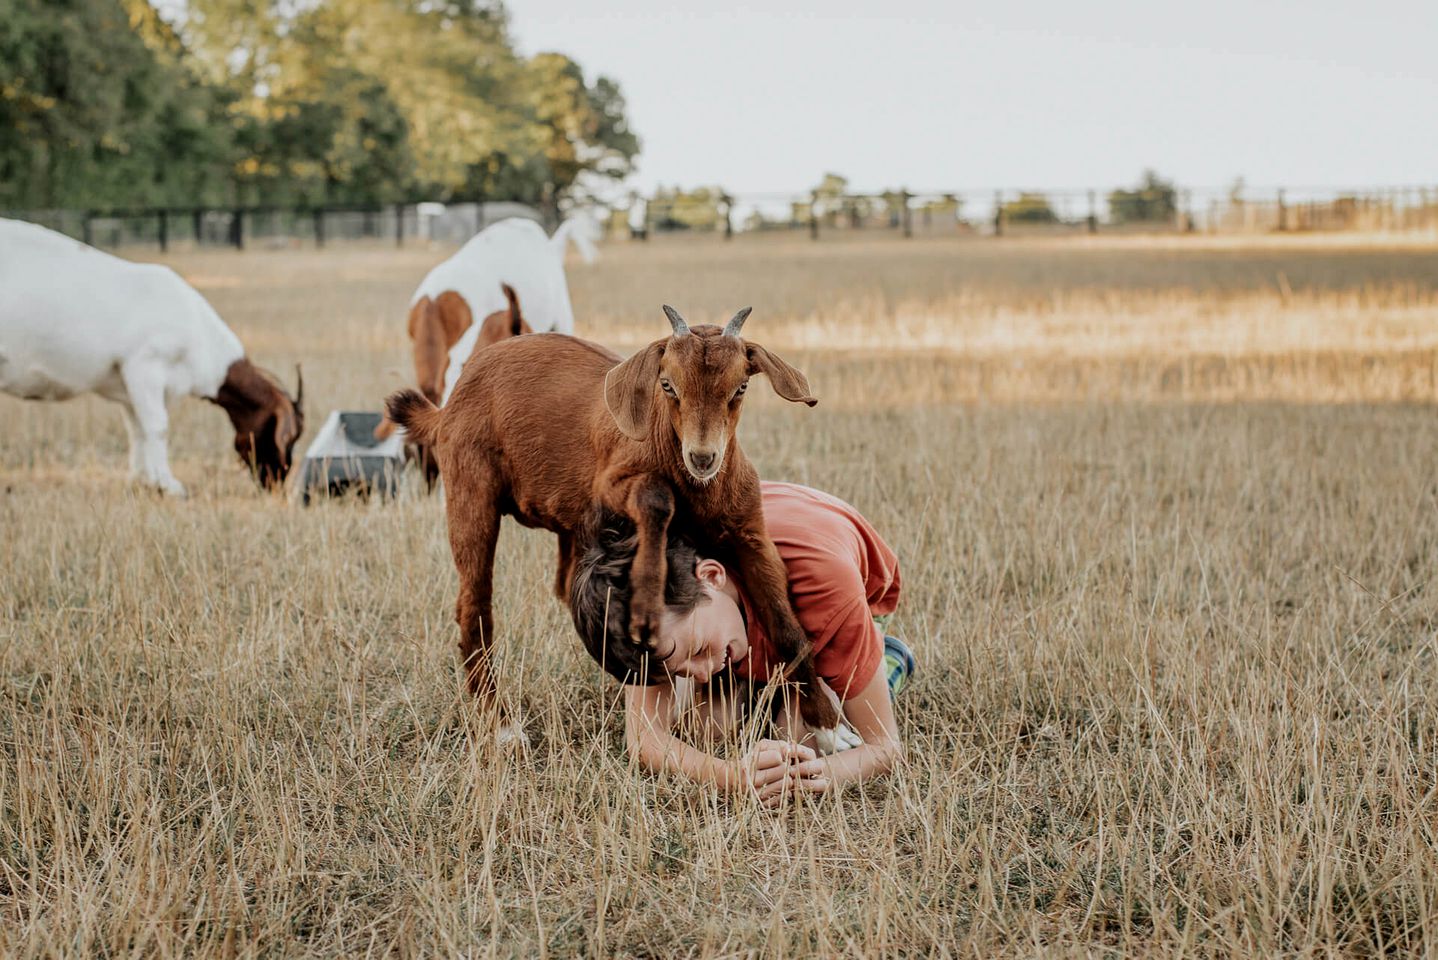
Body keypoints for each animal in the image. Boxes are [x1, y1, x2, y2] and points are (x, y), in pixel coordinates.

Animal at [0, 217, 303, 494]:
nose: (277, 481)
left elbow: (137, 429)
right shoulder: (144, 367)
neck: (200, 334)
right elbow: (158, 426)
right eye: (288, 438)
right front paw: (169, 485)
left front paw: (142, 480)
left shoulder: (127, 389)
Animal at [388, 311, 845, 747]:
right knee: (475, 605)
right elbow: (656, 497)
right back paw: (500, 723)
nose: (702, 457)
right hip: (470, 489)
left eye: (741, 388)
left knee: (561, 584)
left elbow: (787, 627)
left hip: (567, 522)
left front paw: (826, 724)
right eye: (667, 385)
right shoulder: (611, 483)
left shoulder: (749, 532)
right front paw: (644, 603)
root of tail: (446, 407)